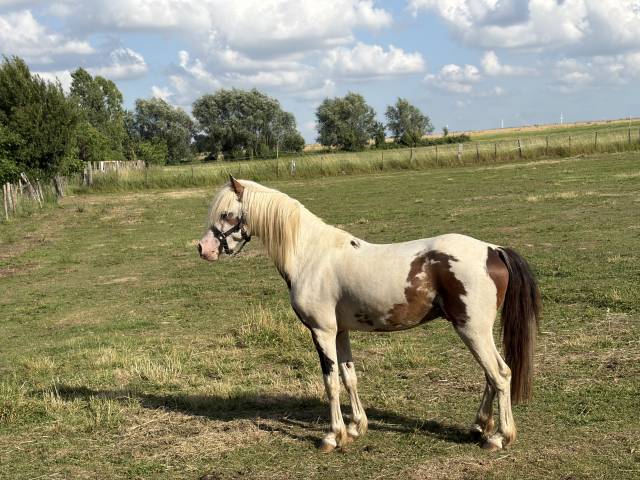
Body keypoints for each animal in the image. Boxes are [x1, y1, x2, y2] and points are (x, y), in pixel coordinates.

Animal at [197, 176, 541, 453]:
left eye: (226, 214)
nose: (204, 249)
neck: (311, 254)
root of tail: (492, 249)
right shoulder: (340, 331)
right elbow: (349, 377)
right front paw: (356, 427)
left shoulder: (321, 331)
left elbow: (330, 382)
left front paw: (333, 436)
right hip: (478, 331)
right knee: (490, 376)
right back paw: (480, 426)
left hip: (472, 330)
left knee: (500, 374)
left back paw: (499, 437)